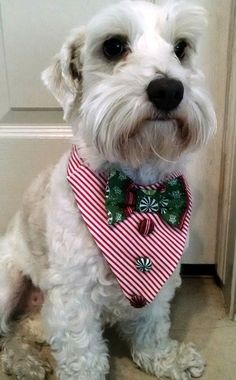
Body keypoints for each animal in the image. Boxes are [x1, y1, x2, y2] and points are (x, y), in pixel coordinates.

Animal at [0, 0, 216, 380]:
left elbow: (151, 326)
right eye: (113, 46)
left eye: (181, 48)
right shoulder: (74, 294)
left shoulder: (157, 280)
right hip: (8, 280)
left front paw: (164, 359)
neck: (140, 193)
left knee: (18, 334)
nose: (169, 90)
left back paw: (28, 360)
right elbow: (82, 353)